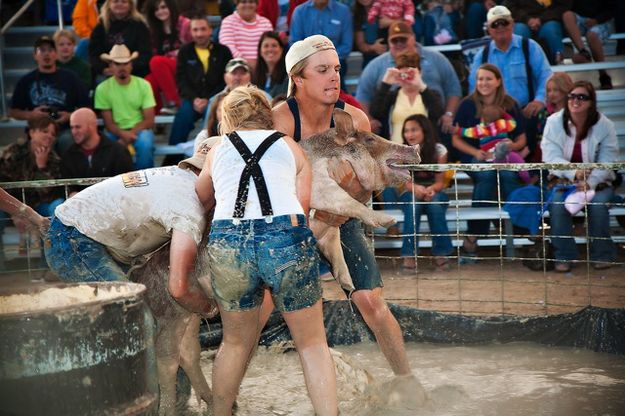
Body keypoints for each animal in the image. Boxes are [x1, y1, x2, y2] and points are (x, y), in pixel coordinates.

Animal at [300, 109, 422, 294]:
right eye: (371, 139)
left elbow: (334, 244)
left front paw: (349, 285)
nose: (416, 147)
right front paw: (389, 220)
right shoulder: (320, 185)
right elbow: (347, 201)